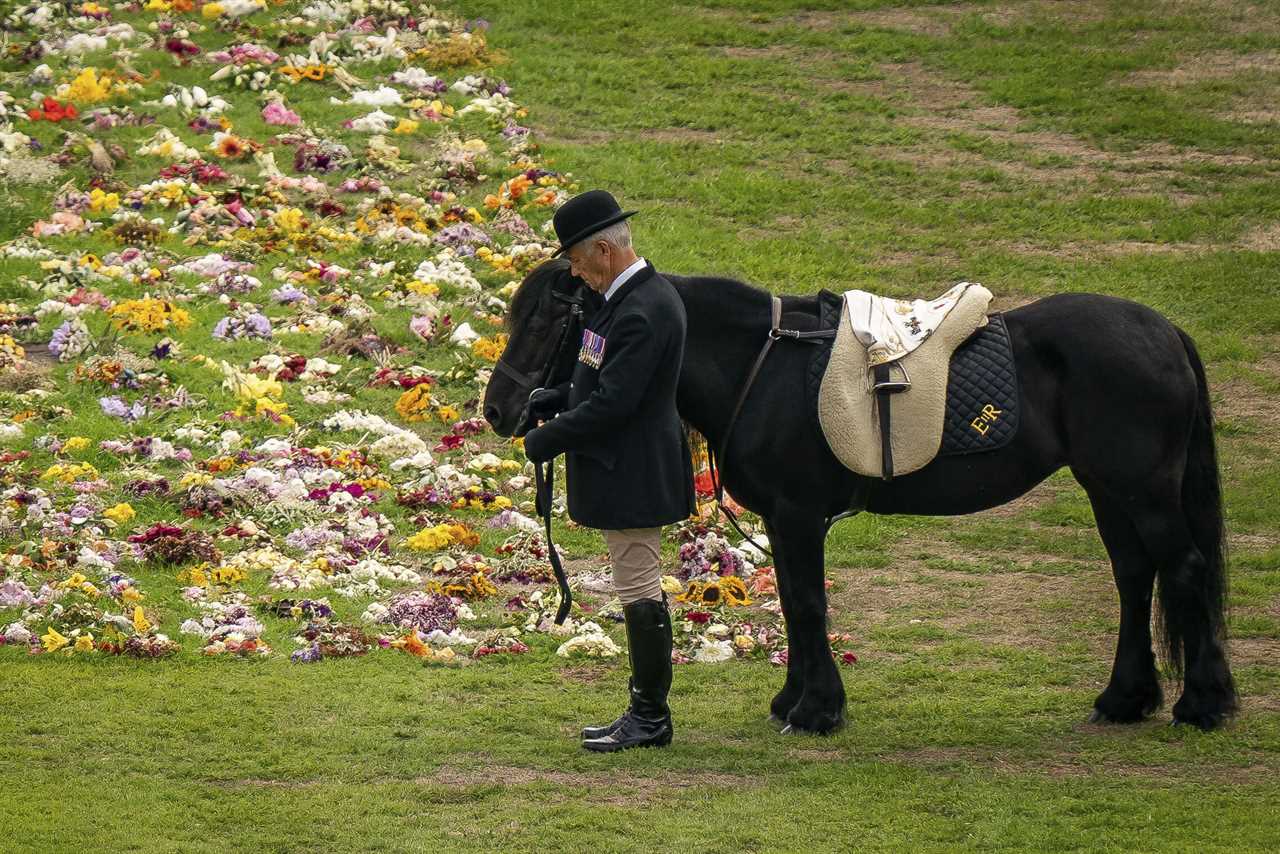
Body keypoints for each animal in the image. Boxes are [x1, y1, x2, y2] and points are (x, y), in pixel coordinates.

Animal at [483, 261, 1233, 737]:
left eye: (545, 320)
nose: (499, 410)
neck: (763, 364)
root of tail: (1163, 332)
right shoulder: (784, 518)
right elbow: (794, 604)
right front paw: (794, 701)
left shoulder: (796, 513)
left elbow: (808, 604)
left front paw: (816, 711)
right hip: (1108, 489)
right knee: (1136, 578)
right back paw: (1126, 698)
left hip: (1142, 490)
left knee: (1184, 570)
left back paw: (1203, 703)